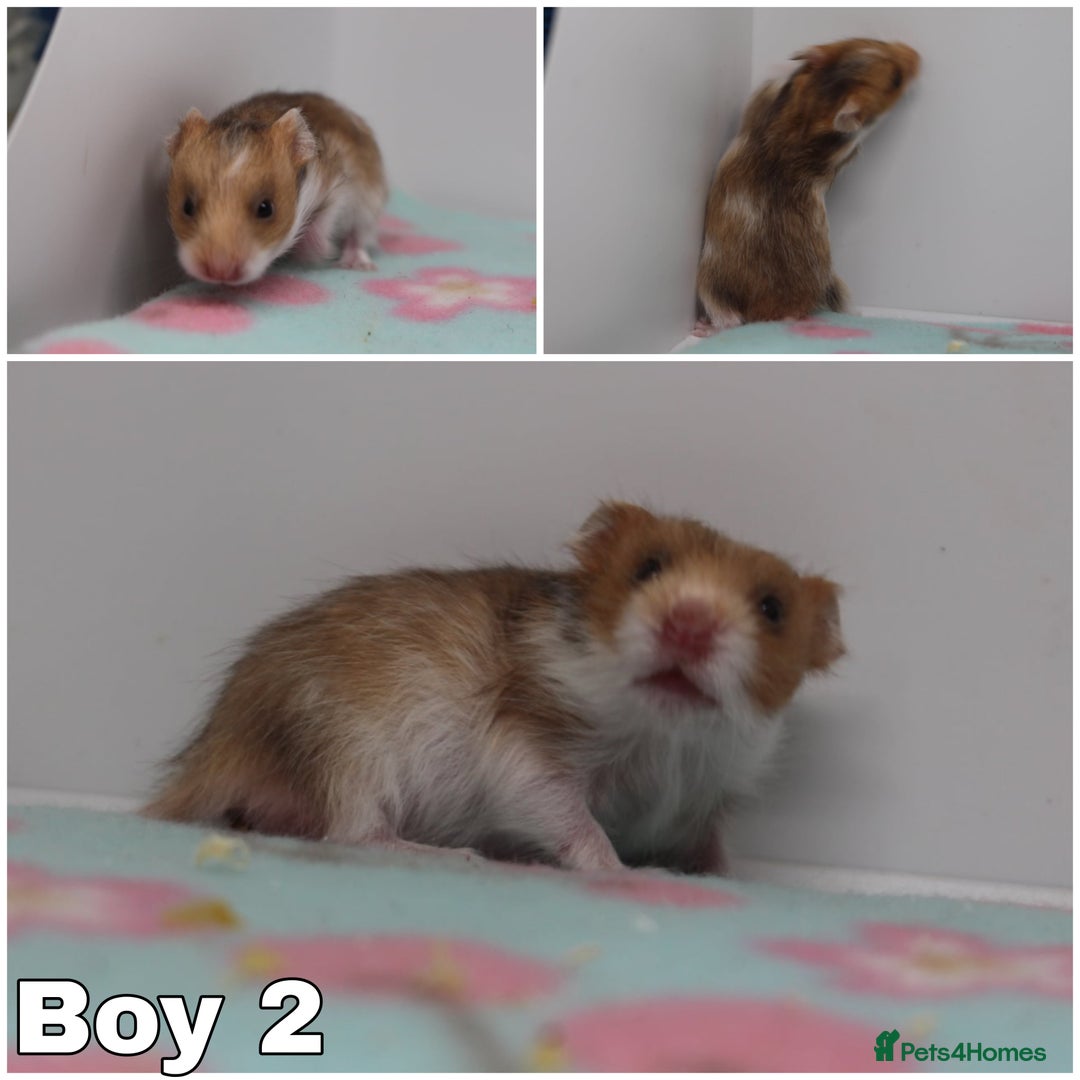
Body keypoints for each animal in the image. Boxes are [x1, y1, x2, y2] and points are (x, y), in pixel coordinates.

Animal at [144, 501, 844, 875]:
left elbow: (714, 847)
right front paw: (622, 871)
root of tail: (220, 742)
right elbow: (573, 821)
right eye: (647, 568)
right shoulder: (527, 752)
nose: (689, 625)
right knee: (354, 831)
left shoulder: (711, 790)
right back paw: (459, 857)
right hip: (348, 748)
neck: (669, 735)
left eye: (773, 608)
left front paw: (729, 877)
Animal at [165, 91, 387, 286]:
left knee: (358, 235)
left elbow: (324, 218)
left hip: (369, 204)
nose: (220, 272)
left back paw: (357, 264)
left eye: (266, 209)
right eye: (187, 207)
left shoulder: (338, 183)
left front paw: (320, 254)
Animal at [695, 39, 920, 333]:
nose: (918, 56)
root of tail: (774, 313)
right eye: (895, 79)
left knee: (729, 319)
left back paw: (704, 327)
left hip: (710, 283)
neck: (815, 106)